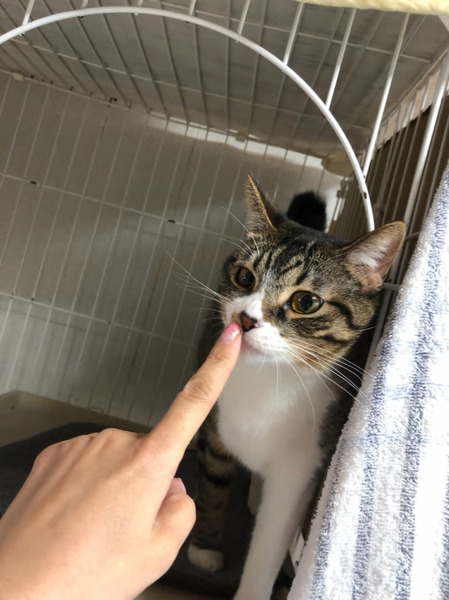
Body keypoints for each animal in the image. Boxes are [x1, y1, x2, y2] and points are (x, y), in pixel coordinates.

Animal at [187, 174, 406, 600]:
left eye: (306, 302)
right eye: (245, 278)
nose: (246, 318)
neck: (266, 381)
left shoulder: (300, 469)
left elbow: (269, 547)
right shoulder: (214, 428)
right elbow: (213, 487)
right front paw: (205, 547)